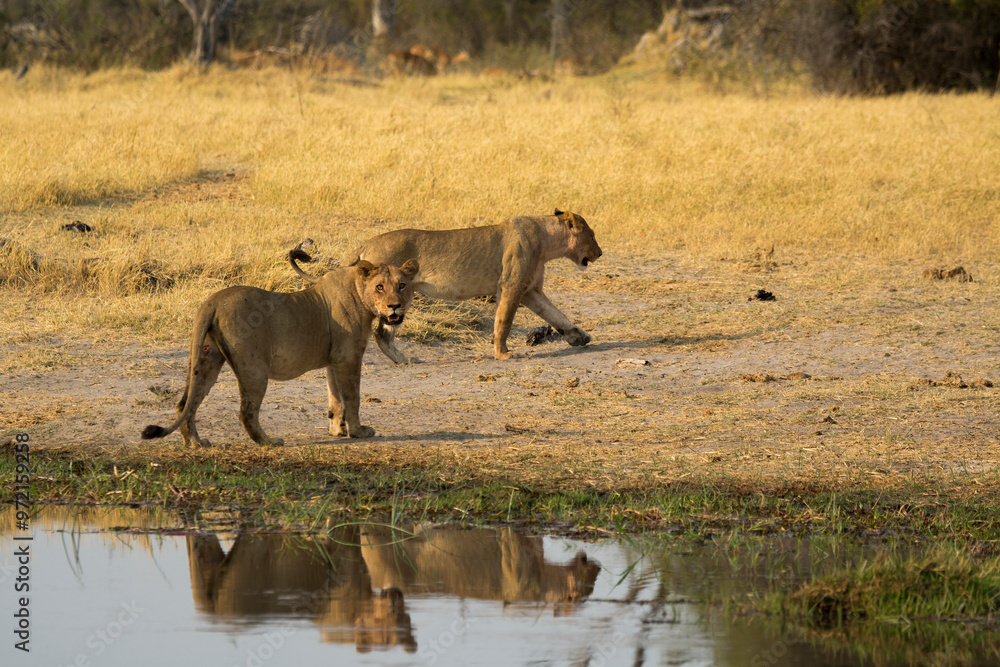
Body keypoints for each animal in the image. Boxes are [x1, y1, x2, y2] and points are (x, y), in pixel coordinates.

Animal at [140, 258, 418, 447]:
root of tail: (212, 301)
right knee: (246, 411)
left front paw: (337, 430)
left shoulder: (334, 359)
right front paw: (358, 432)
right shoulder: (348, 357)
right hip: (254, 367)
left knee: (185, 404)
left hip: (206, 359)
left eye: (402, 285)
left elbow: (335, 397)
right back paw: (269, 442)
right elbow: (352, 397)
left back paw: (196, 444)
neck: (360, 292)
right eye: (380, 287)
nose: (395, 306)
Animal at [291, 210, 602, 361]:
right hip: (393, 297)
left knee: (383, 333)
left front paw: (579, 337)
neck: (548, 242)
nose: (600, 253)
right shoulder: (511, 287)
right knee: (380, 332)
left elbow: (556, 315)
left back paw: (402, 360)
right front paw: (502, 354)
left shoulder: (530, 291)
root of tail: (368, 242)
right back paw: (400, 359)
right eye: (593, 235)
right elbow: (504, 321)